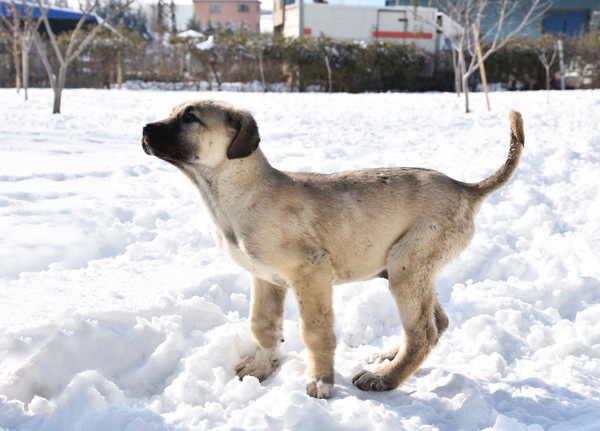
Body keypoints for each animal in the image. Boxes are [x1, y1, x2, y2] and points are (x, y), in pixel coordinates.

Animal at [142, 99, 524, 400]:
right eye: (173, 111)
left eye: (190, 117)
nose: (144, 128)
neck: (233, 194)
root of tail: (466, 188)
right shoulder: (266, 279)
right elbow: (263, 325)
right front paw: (262, 368)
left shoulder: (312, 272)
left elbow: (315, 332)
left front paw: (321, 381)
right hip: (410, 270)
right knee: (437, 322)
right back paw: (389, 358)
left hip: (408, 265)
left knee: (422, 332)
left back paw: (384, 379)